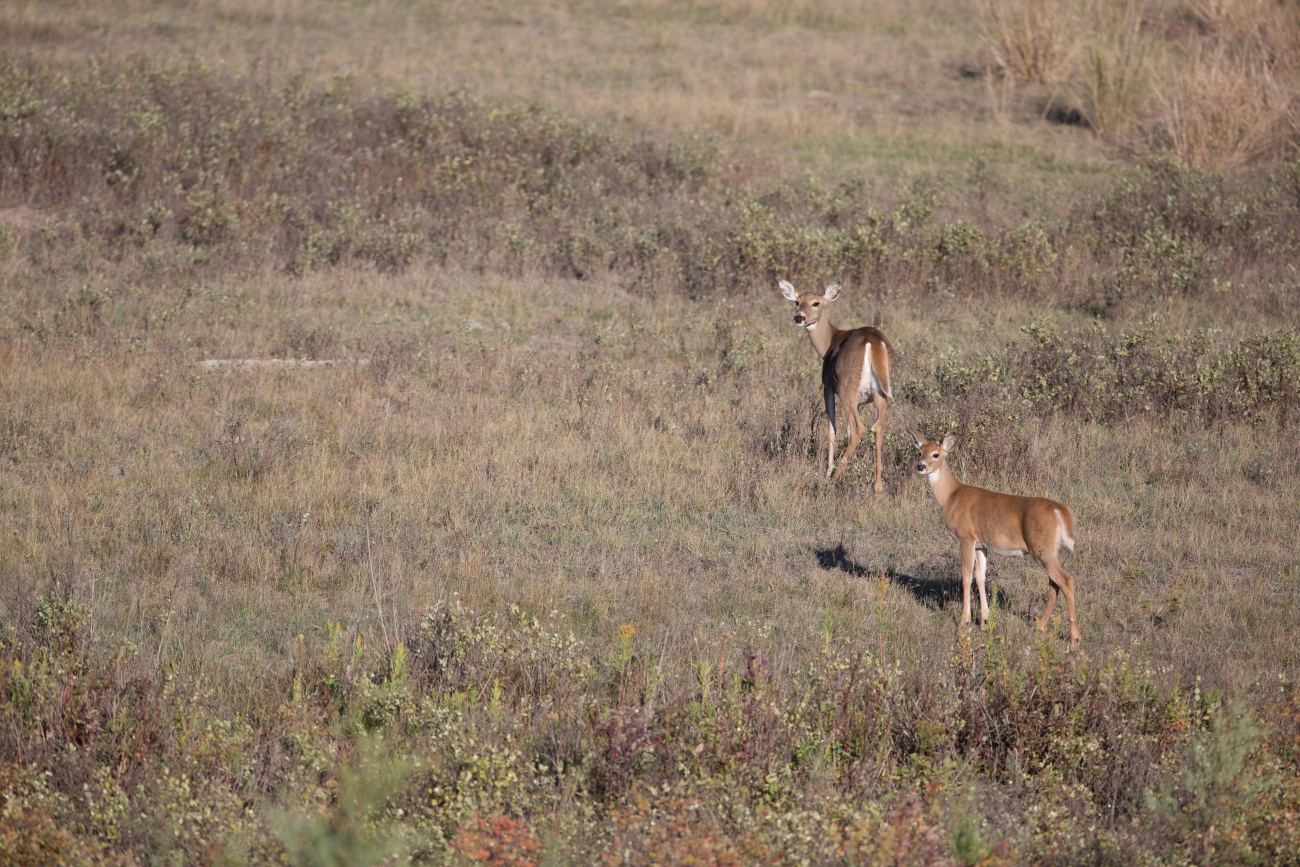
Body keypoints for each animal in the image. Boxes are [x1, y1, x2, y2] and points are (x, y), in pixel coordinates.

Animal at [774, 282, 889, 491]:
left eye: (816, 303)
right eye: (797, 301)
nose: (799, 317)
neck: (830, 340)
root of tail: (873, 342)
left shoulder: (827, 386)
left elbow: (832, 428)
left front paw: (828, 471)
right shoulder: (859, 402)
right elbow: (847, 431)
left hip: (846, 388)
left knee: (860, 428)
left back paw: (835, 477)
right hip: (879, 394)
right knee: (877, 427)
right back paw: (877, 486)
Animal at [909, 431, 1081, 647]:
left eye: (936, 454)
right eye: (919, 451)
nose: (920, 466)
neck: (950, 496)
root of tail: (1059, 510)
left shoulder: (965, 537)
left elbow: (966, 576)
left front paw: (964, 620)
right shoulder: (981, 544)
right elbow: (980, 576)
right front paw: (984, 620)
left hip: (1041, 548)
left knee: (1066, 580)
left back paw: (1074, 639)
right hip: (1048, 550)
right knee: (1054, 583)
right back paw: (1041, 627)